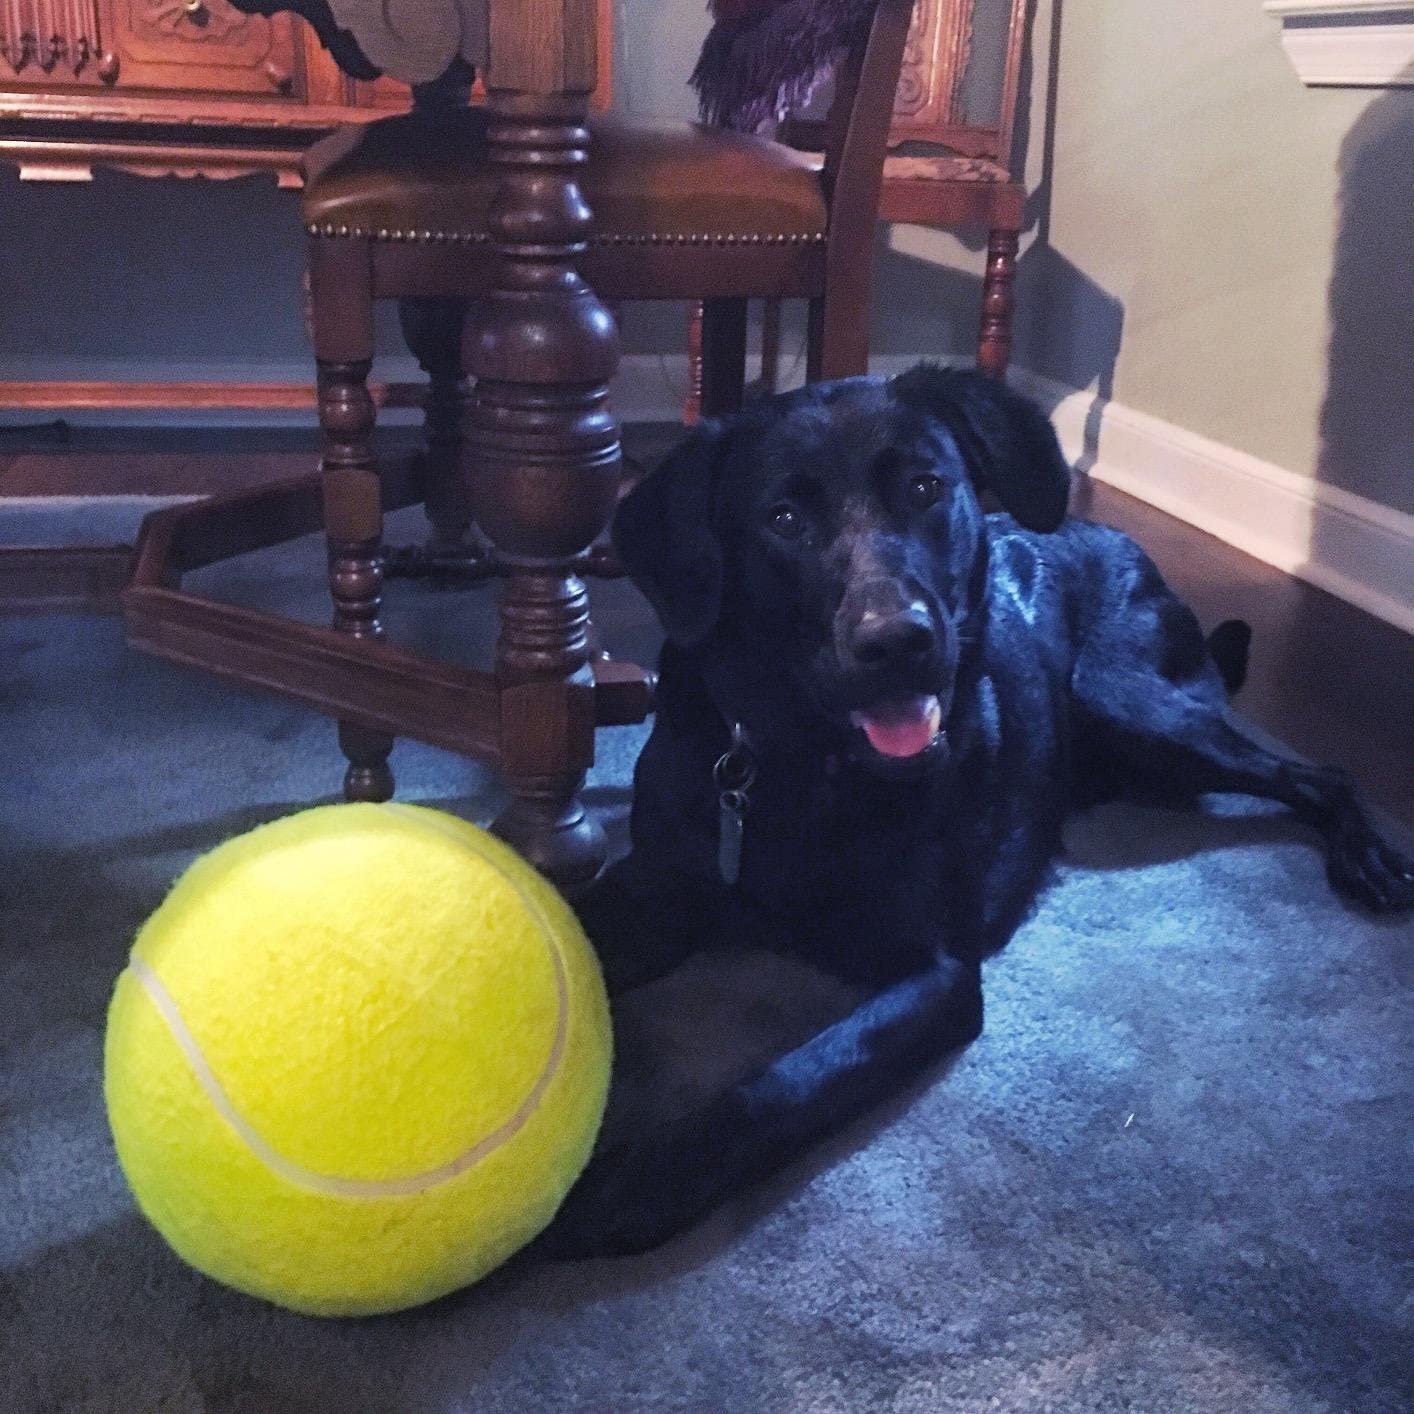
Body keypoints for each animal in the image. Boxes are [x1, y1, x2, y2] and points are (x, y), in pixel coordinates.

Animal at [542, 364, 1414, 1261]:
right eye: (782, 519)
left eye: (925, 487)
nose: (897, 642)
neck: (803, 759)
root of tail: (1116, 540)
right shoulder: (657, 889)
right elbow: (574, 928)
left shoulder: (938, 974)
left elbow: (793, 1079)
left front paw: (622, 1190)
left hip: (1136, 702)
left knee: (1321, 774)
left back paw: (1369, 858)